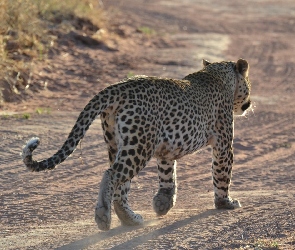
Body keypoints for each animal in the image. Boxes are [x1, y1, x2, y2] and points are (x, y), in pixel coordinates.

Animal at [21, 58, 252, 230]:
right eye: (249, 84)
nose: (249, 103)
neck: (218, 74)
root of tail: (118, 87)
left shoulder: (166, 149)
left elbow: (167, 176)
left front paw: (163, 204)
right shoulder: (224, 144)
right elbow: (222, 175)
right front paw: (226, 203)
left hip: (119, 144)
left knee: (120, 187)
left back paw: (130, 219)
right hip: (139, 146)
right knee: (111, 175)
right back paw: (104, 217)